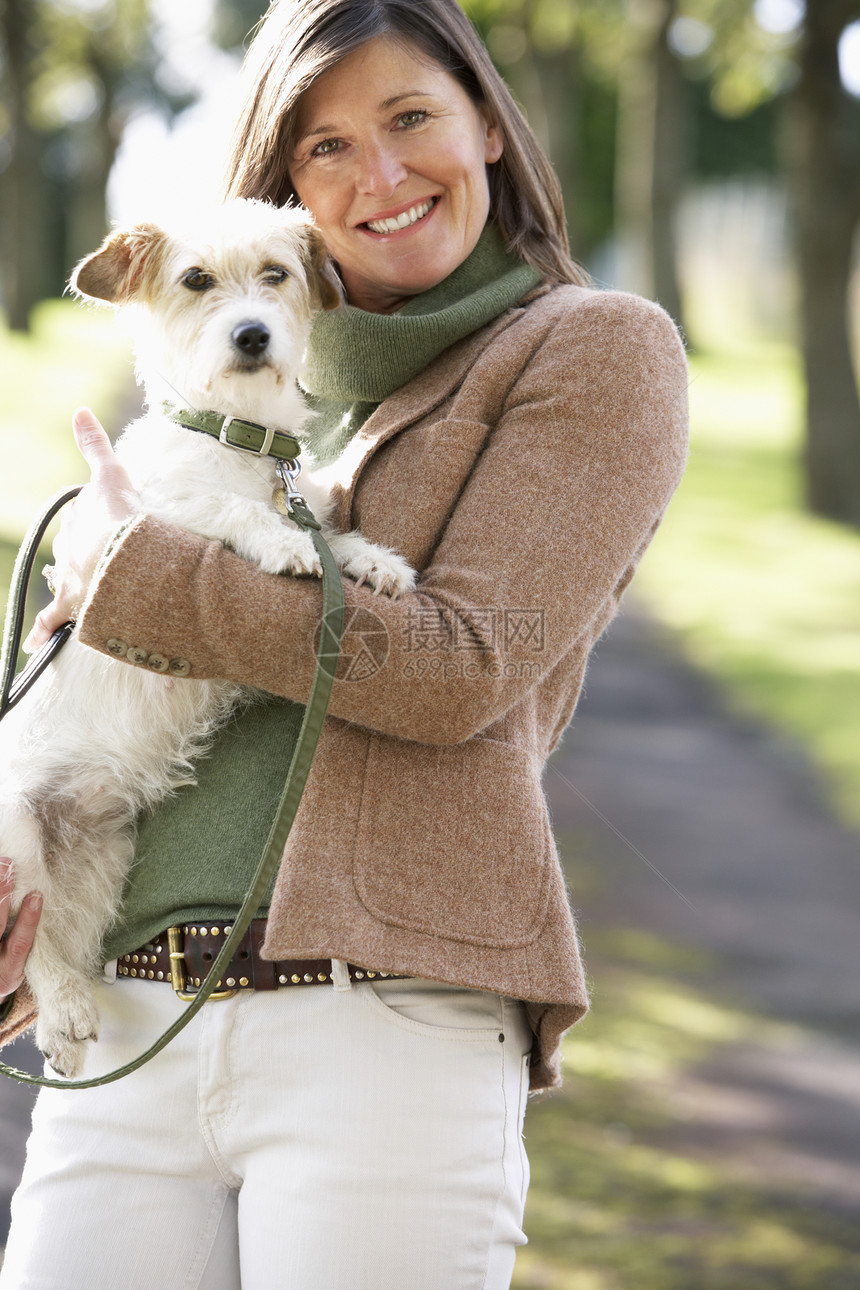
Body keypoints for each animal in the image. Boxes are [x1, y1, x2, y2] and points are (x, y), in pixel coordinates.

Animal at [2, 196, 412, 1073]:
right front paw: (283, 543)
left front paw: (371, 560)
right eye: (195, 281)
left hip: (100, 856)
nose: (252, 334)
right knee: (37, 941)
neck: (239, 436)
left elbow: (330, 526)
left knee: (59, 932)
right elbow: (229, 510)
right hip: (12, 833)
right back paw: (64, 1014)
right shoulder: (153, 508)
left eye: (276, 275)